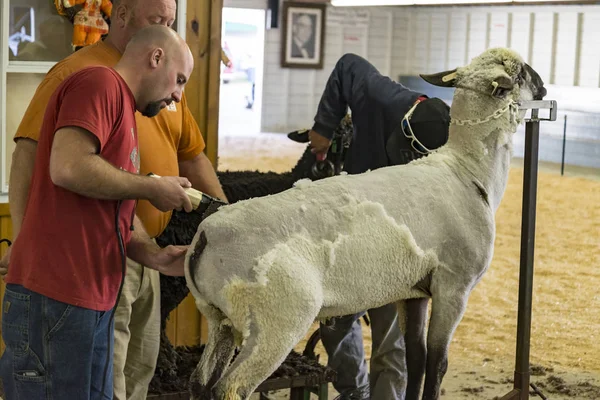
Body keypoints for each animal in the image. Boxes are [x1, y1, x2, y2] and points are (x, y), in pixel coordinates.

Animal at [184, 47, 548, 400]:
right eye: (522, 72)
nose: (545, 87)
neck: (468, 171)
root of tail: (207, 234)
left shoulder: (414, 291)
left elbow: (415, 358)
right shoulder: (454, 286)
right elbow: (437, 362)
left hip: (219, 318)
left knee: (199, 383)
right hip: (276, 320)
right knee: (229, 388)